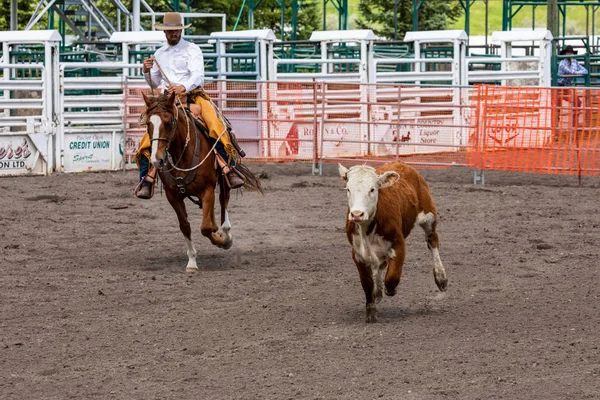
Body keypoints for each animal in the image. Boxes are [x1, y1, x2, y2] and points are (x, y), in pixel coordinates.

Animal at [143, 90, 262, 272]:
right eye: (148, 124)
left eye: (169, 122)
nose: (158, 160)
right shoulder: (173, 196)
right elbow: (185, 226)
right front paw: (192, 262)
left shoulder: (207, 189)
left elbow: (205, 228)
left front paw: (222, 241)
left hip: (224, 181)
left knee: (223, 204)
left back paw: (225, 234)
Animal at [340, 162, 448, 322]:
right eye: (348, 189)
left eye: (372, 189)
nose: (357, 214)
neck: (367, 228)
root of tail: (401, 164)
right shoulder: (357, 254)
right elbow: (367, 283)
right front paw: (371, 311)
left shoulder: (399, 245)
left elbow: (392, 276)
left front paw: (390, 290)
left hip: (429, 215)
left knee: (432, 241)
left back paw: (441, 278)